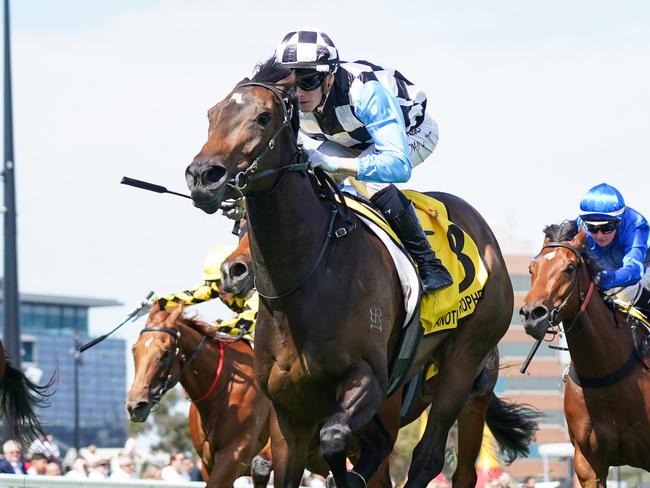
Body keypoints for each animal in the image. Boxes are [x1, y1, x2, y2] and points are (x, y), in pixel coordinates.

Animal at [185, 58, 536, 488]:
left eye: (263, 117)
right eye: (212, 115)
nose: (203, 176)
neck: (303, 284)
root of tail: (486, 236)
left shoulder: (368, 380)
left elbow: (335, 439)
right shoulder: (288, 410)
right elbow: (287, 466)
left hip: (465, 362)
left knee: (431, 457)